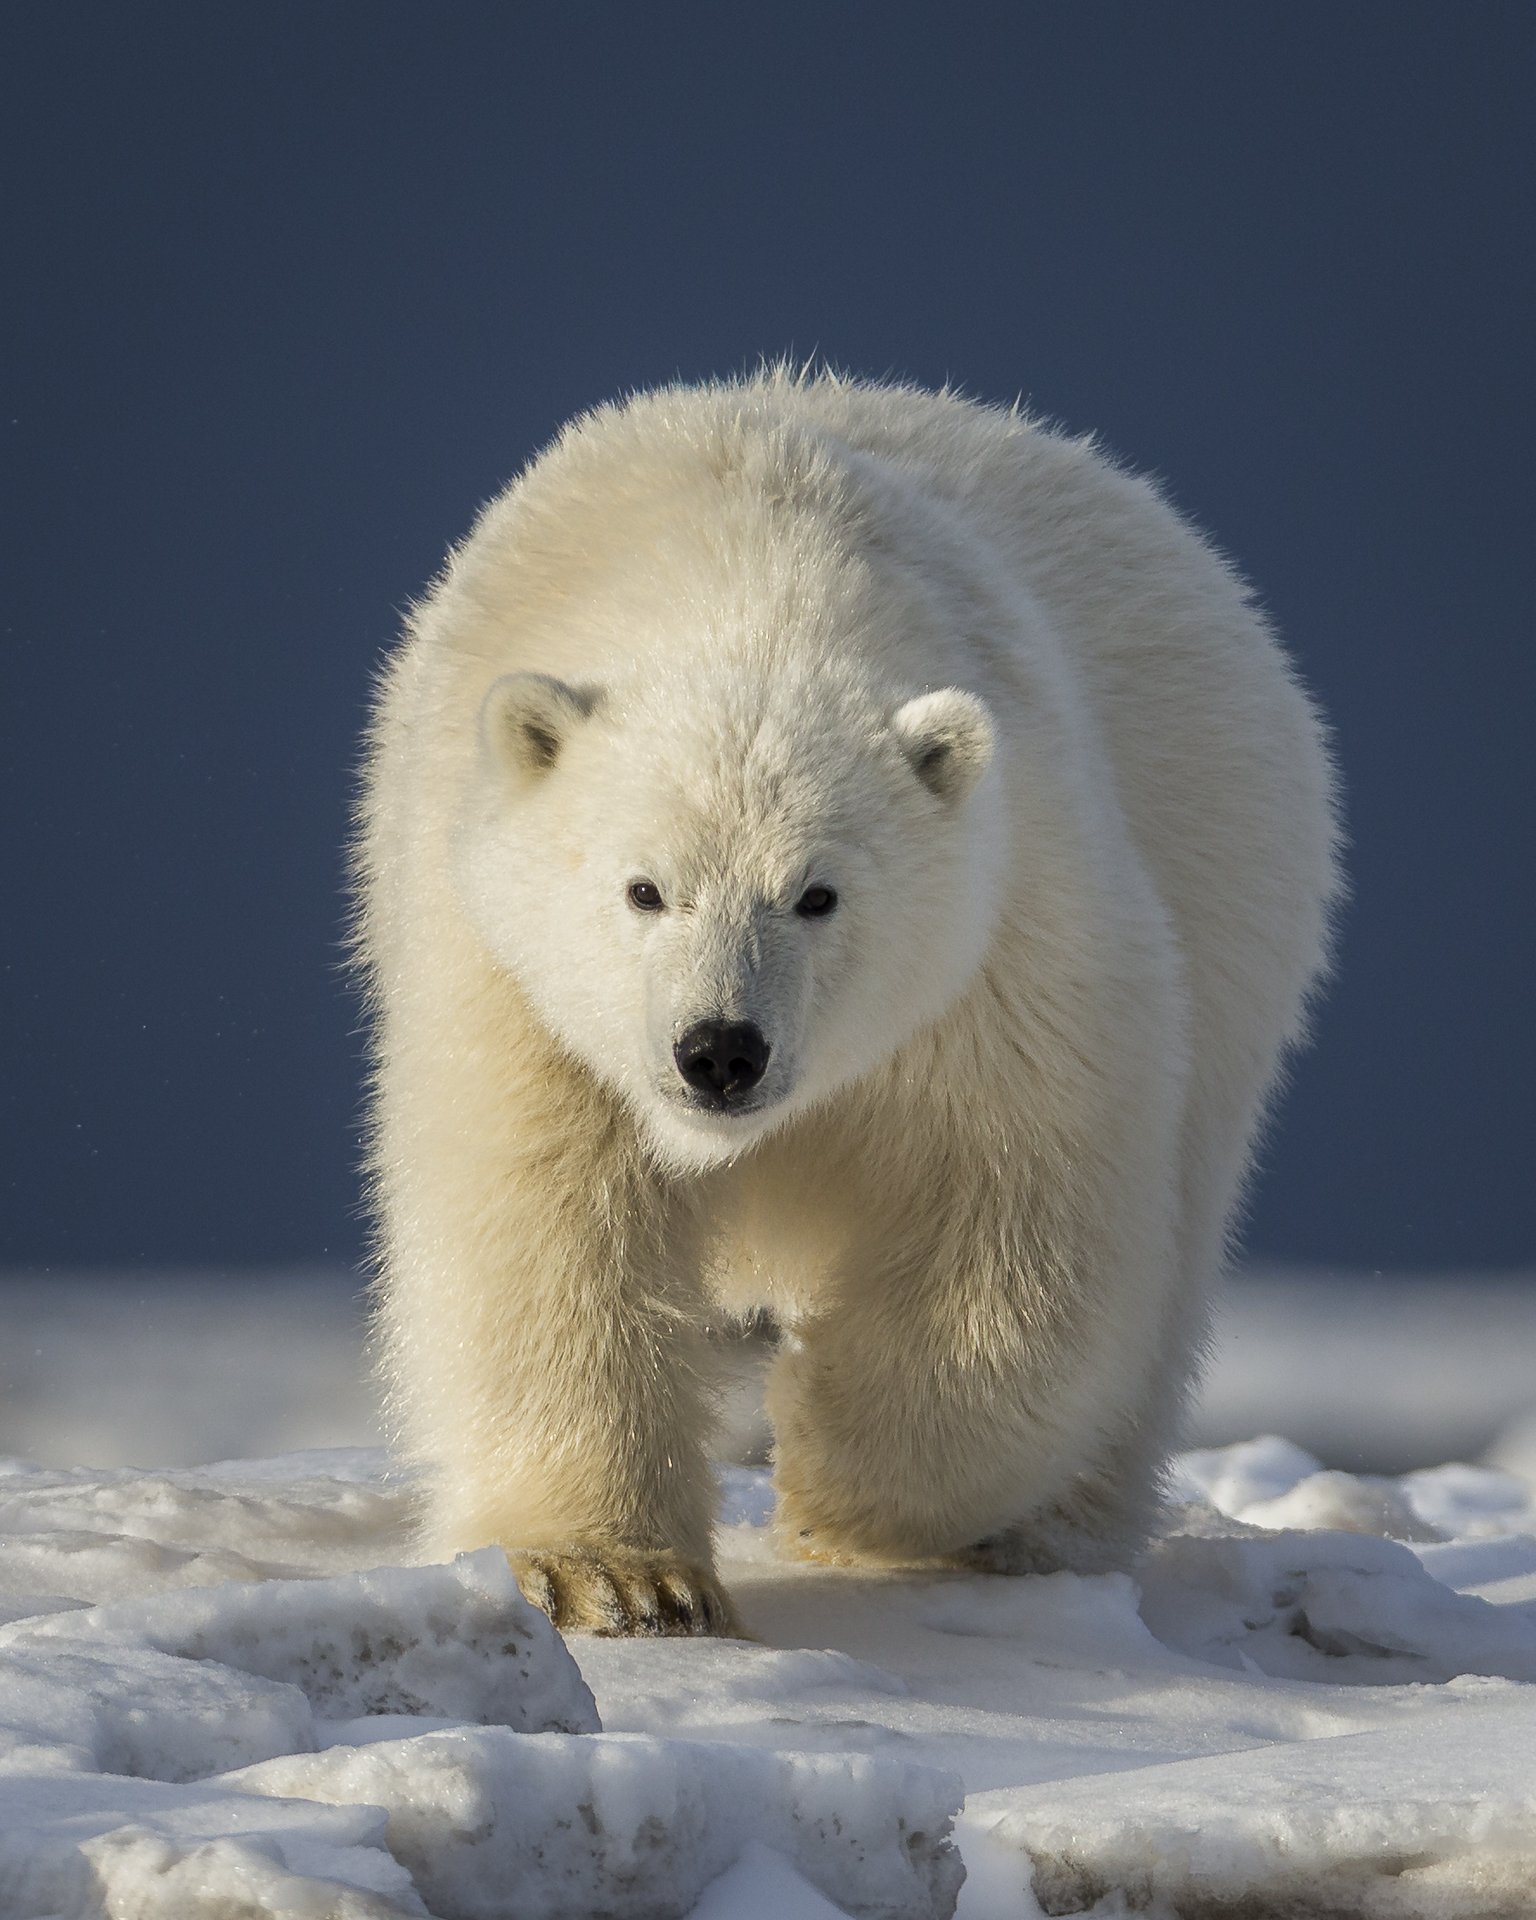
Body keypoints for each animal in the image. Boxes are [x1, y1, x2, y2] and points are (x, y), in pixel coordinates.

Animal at [353, 369, 1341, 1636]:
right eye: (643, 887)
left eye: (817, 893)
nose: (720, 1051)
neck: (747, 579)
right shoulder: (504, 967)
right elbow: (542, 1221)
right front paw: (614, 1577)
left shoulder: (1008, 934)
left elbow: (1014, 1218)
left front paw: (831, 1479)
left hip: (1233, 903)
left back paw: (1039, 1530)